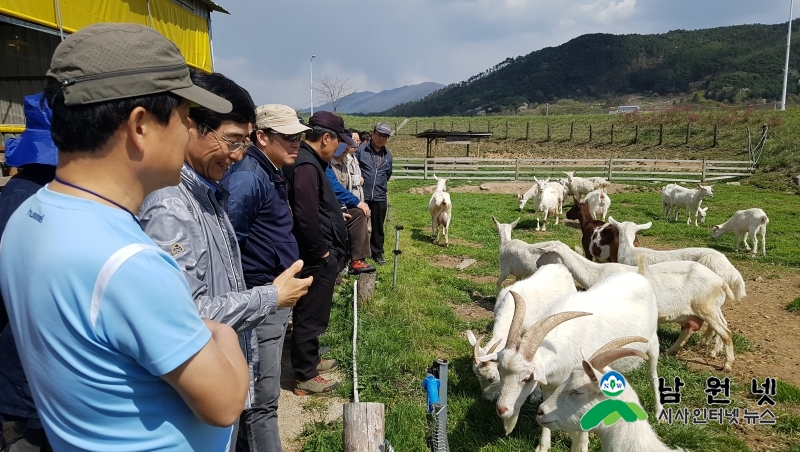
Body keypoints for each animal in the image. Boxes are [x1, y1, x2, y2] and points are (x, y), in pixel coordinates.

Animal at [494, 272, 664, 452]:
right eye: (500, 371)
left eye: (527, 378)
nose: (501, 409)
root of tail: (638, 275)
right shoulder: (551, 385)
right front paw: (543, 446)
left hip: (653, 344)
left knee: (653, 376)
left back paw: (659, 412)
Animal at [540, 240, 736, 370]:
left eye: (545, 253)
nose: (536, 264)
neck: (595, 273)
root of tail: (721, 283)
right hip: (705, 308)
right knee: (702, 328)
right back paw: (673, 351)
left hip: (706, 306)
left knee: (726, 332)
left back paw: (726, 364)